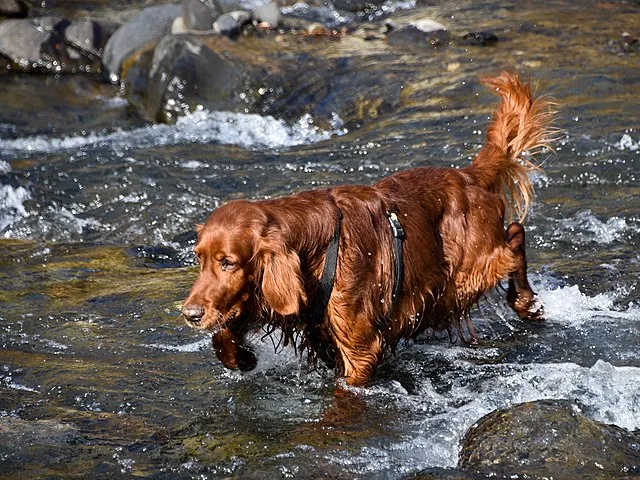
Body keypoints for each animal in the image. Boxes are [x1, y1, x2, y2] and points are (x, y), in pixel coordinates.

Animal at [181, 71, 556, 386]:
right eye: (200, 259)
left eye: (228, 262)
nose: (190, 314)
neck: (316, 248)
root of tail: (468, 175)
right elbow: (226, 330)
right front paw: (240, 356)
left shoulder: (358, 346)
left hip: (469, 272)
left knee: (514, 239)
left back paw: (526, 302)